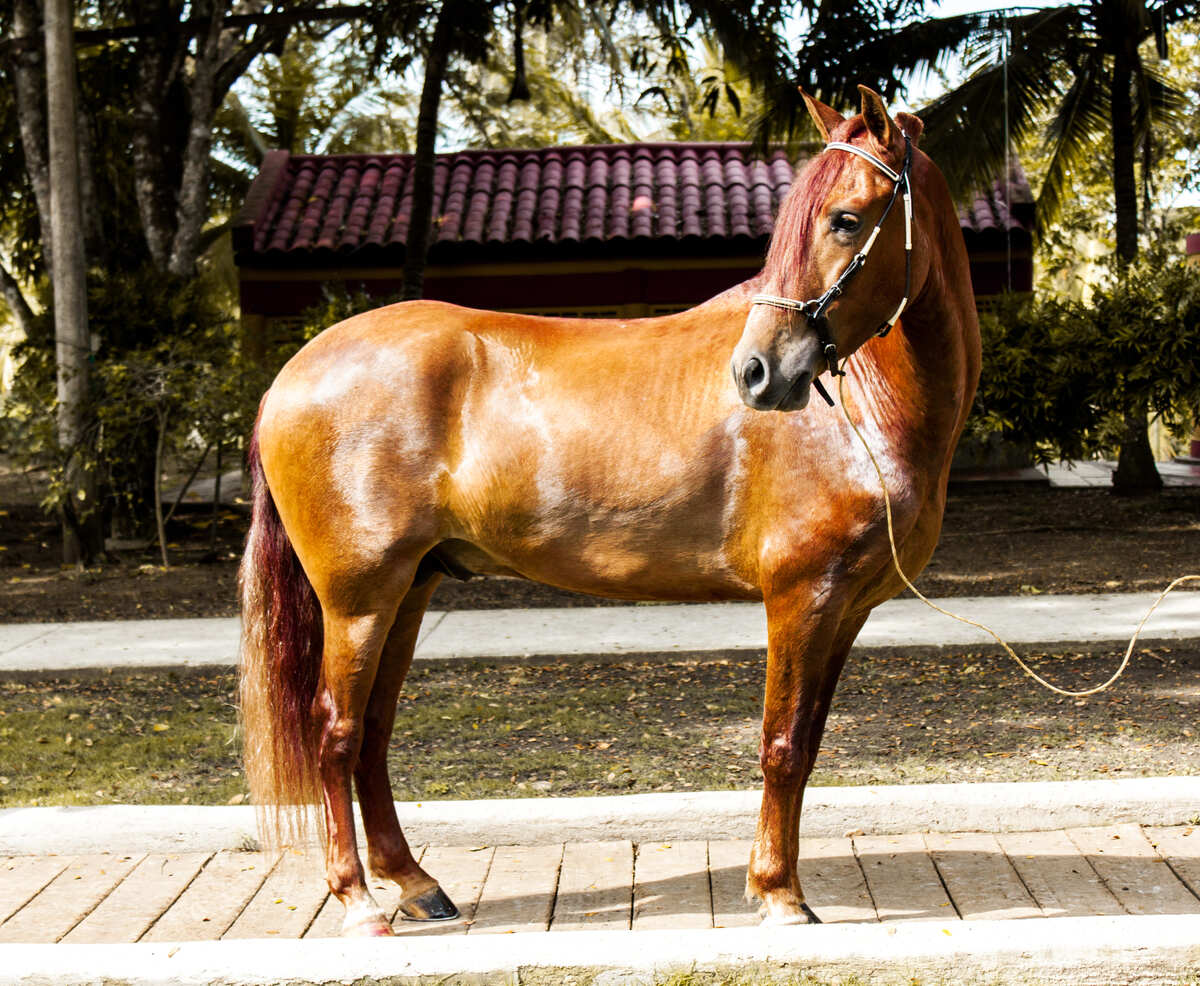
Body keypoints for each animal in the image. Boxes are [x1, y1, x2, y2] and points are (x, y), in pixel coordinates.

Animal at [239, 85, 980, 936]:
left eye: (847, 219)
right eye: (818, 218)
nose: (757, 373)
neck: (868, 412)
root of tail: (290, 375)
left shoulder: (846, 608)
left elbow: (811, 742)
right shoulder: (802, 596)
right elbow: (783, 745)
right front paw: (780, 894)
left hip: (410, 589)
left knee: (372, 735)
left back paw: (417, 884)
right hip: (358, 598)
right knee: (335, 730)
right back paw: (359, 900)